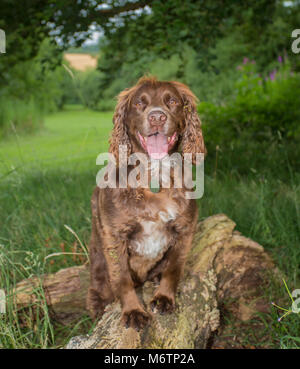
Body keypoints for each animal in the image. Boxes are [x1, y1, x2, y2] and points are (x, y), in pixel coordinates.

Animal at [85, 76, 205, 330]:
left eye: (172, 101)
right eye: (140, 103)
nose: (157, 117)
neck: (154, 172)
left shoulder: (185, 229)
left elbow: (173, 268)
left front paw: (164, 298)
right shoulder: (115, 235)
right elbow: (121, 278)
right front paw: (133, 311)